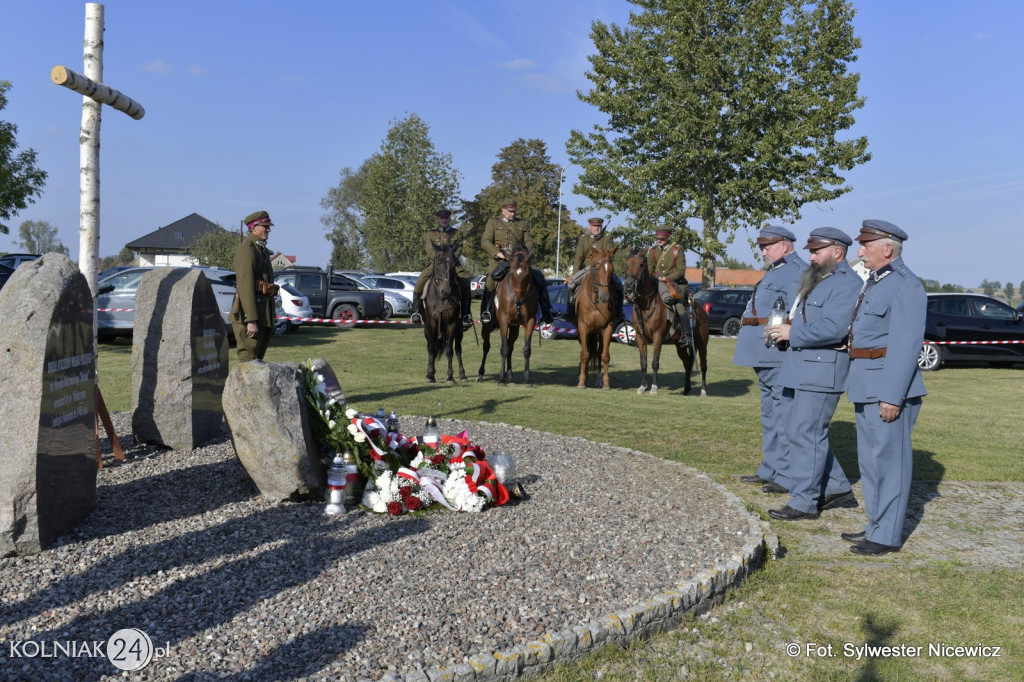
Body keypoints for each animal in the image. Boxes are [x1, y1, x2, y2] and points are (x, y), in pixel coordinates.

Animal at [421, 241, 466, 385]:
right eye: (437, 262)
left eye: (453, 263)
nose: (445, 291)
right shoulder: (431, 324)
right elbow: (432, 348)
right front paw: (430, 375)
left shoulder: (452, 324)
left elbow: (449, 350)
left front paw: (450, 377)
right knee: (431, 346)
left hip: (459, 331)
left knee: (458, 349)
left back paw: (462, 374)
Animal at [475, 245, 540, 385]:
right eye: (512, 273)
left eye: (528, 274)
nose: (519, 300)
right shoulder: (503, 321)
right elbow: (503, 349)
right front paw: (500, 379)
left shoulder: (530, 321)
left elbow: (526, 349)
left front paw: (527, 379)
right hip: (487, 327)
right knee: (486, 346)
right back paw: (481, 374)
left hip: (514, 327)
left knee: (510, 346)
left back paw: (509, 375)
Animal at [577, 245, 614, 387]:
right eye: (596, 268)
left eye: (612, 270)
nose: (605, 296)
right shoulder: (582, 327)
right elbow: (584, 354)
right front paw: (581, 381)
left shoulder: (607, 328)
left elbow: (605, 356)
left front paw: (606, 383)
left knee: (598, 353)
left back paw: (598, 380)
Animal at [618, 245, 708, 395]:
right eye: (627, 263)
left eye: (641, 264)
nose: (629, 286)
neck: (646, 305)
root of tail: (702, 311)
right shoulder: (640, 338)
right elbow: (643, 363)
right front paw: (642, 386)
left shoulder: (657, 338)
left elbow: (655, 363)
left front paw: (654, 387)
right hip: (679, 345)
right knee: (687, 363)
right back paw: (686, 389)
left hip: (701, 344)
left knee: (703, 365)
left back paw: (703, 390)